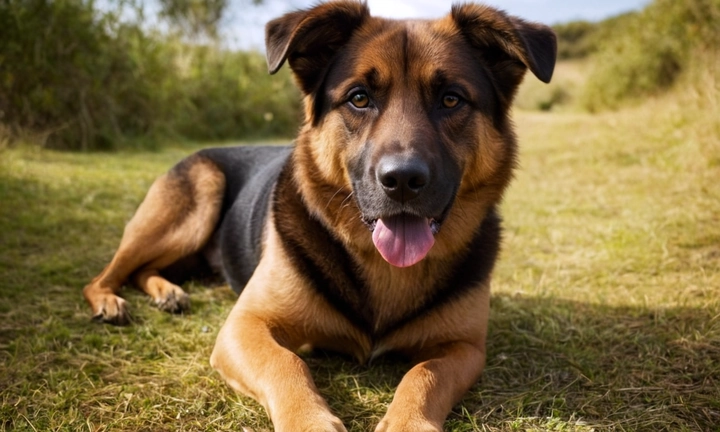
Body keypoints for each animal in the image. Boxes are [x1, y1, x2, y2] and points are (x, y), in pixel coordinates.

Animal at [83, 1, 556, 430]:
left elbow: (424, 375)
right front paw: (309, 419)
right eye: (359, 98)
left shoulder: (463, 348)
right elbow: (287, 364)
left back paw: (167, 291)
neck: (382, 267)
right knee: (109, 273)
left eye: (451, 99)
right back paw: (111, 300)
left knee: (144, 270)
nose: (402, 179)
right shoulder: (245, 327)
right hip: (193, 204)